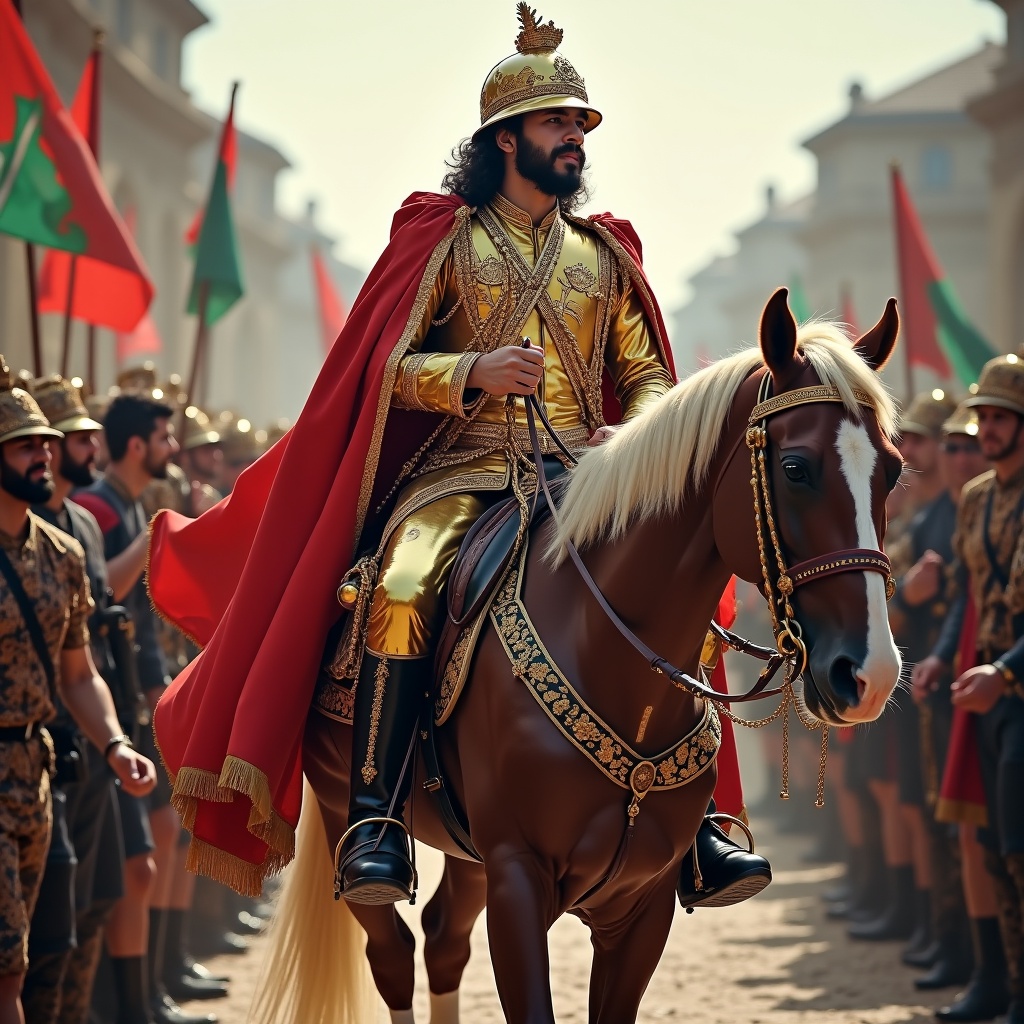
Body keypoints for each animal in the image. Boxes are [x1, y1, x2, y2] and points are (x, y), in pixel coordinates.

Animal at [251, 290, 901, 1024]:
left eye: (893, 470)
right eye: (795, 468)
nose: (870, 674)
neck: (607, 652)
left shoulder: (642, 901)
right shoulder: (517, 878)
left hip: (466, 850)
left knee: (444, 939)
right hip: (343, 802)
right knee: (390, 949)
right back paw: (374, 857)